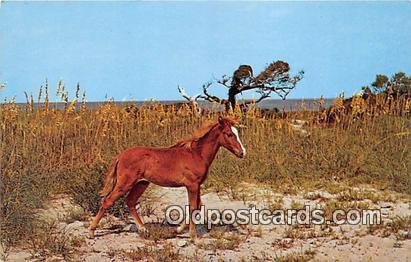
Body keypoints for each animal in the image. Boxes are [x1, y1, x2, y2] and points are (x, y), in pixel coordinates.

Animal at [89, 115, 245, 238]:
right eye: (229, 134)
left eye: (236, 133)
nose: (242, 152)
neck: (197, 154)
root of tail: (121, 156)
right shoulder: (192, 185)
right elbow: (193, 207)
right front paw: (192, 235)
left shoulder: (198, 185)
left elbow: (198, 206)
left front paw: (178, 229)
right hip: (125, 183)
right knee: (107, 201)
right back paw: (91, 231)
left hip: (141, 183)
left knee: (130, 202)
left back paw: (144, 229)